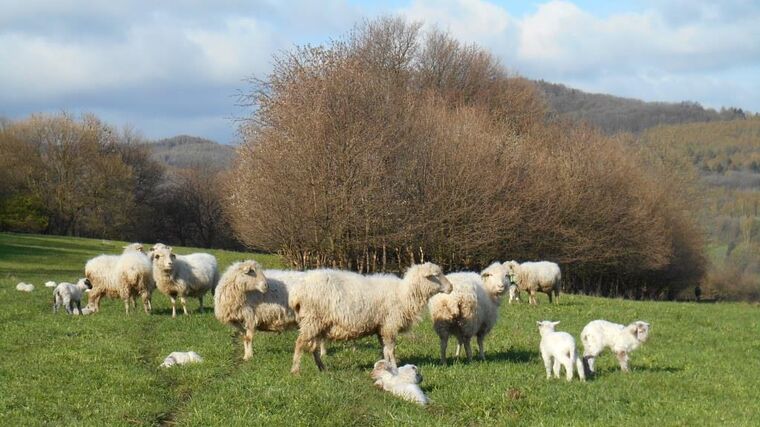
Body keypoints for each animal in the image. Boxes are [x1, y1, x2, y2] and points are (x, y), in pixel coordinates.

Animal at [286, 262, 452, 376]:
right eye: (436, 275)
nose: (451, 287)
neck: (404, 293)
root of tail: (297, 291)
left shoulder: (381, 327)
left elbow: (385, 350)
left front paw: (386, 366)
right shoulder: (390, 325)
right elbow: (391, 350)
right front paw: (395, 368)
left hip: (317, 323)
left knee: (313, 348)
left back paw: (322, 368)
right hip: (312, 319)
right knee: (300, 344)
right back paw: (295, 370)